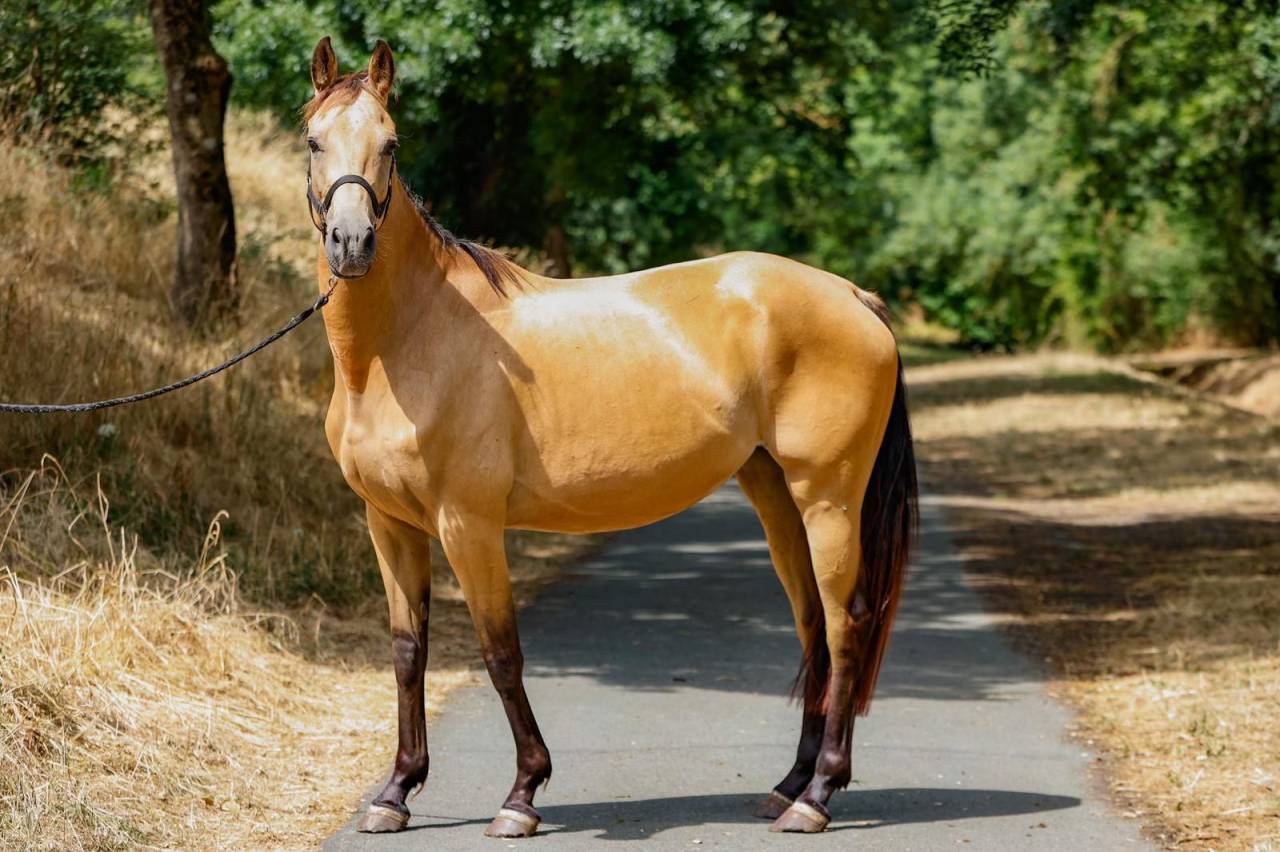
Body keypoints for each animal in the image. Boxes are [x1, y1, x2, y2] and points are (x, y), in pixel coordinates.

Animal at [303, 37, 917, 838]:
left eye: (393, 144)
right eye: (314, 141)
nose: (351, 244)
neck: (407, 342)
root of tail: (852, 295)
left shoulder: (469, 523)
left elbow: (501, 653)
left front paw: (522, 794)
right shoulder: (390, 523)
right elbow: (409, 651)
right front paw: (396, 792)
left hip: (829, 499)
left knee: (847, 624)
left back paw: (817, 798)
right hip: (776, 493)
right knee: (813, 622)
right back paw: (789, 785)